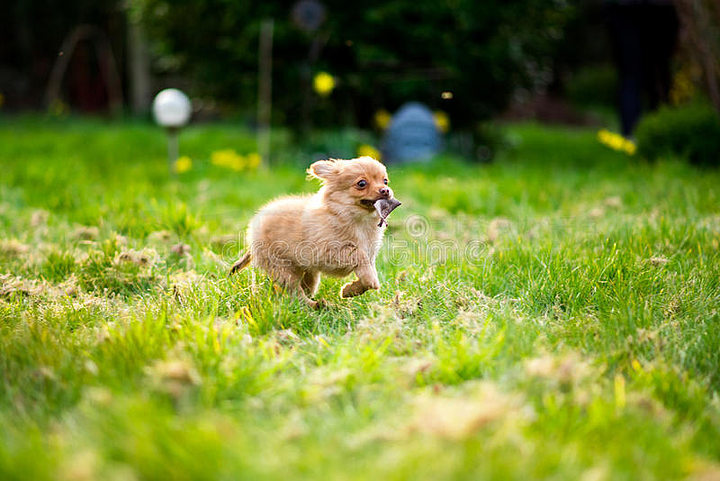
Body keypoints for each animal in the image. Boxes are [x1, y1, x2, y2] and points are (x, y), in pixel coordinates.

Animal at [231, 158, 400, 308]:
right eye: (362, 183)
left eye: (385, 181)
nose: (386, 190)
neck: (356, 220)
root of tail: (254, 226)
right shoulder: (329, 252)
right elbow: (359, 257)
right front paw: (361, 284)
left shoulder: (370, 256)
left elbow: (368, 276)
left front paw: (350, 290)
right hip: (282, 268)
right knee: (296, 293)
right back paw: (315, 305)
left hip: (309, 272)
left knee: (303, 288)